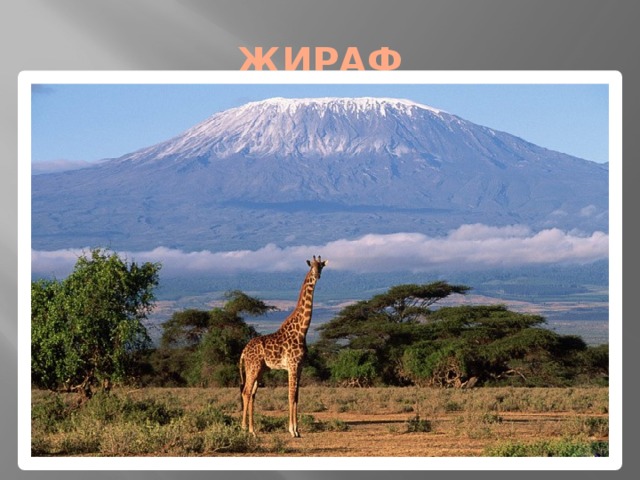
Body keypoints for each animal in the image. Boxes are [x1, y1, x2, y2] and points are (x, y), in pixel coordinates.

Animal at [239, 255, 327, 437]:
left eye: (321, 266)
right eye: (312, 266)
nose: (317, 275)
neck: (302, 331)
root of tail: (243, 351)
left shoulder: (299, 367)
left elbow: (296, 397)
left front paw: (297, 430)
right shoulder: (292, 366)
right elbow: (290, 396)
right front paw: (292, 430)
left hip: (260, 369)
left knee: (252, 394)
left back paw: (252, 429)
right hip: (253, 367)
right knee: (246, 392)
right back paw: (246, 429)